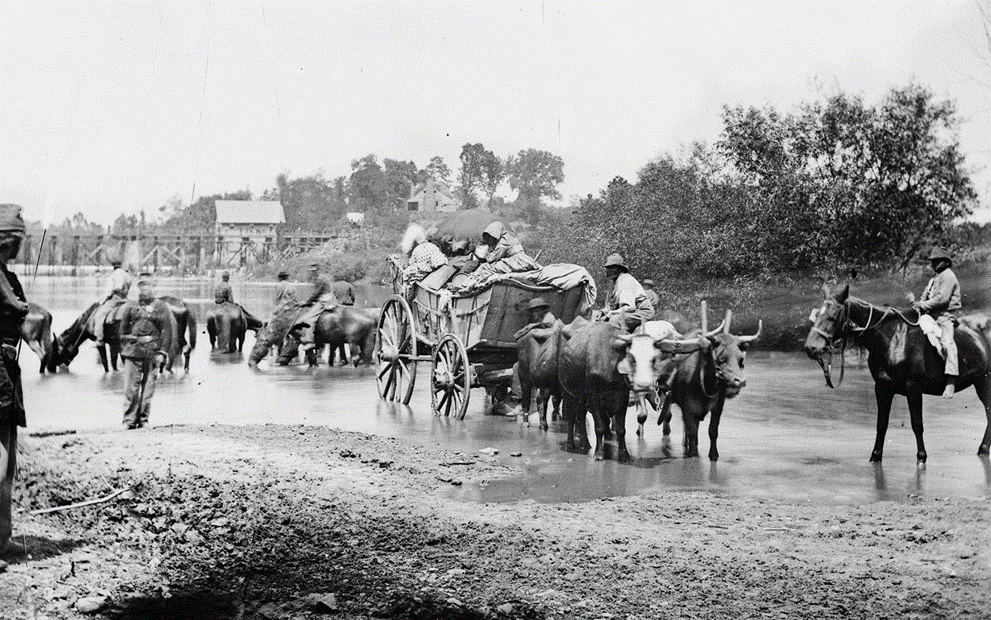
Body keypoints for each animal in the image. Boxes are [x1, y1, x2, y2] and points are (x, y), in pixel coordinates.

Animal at [808, 284, 991, 462]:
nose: (810, 347)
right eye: (817, 315)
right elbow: (882, 423)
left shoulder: (913, 388)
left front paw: (921, 456)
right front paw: (875, 455)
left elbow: (917, 423)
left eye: (833, 316)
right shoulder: (882, 387)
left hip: (984, 382)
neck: (892, 337)